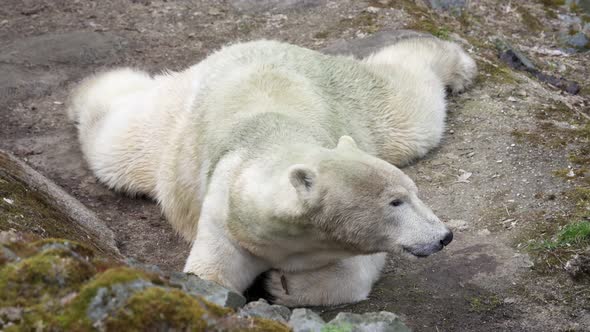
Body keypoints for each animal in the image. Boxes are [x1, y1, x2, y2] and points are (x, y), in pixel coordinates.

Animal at [68, 37, 476, 306]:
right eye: (396, 202)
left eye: (414, 193)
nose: (444, 236)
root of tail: (255, 41)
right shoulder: (227, 216)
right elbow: (211, 272)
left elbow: (356, 272)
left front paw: (281, 284)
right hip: (172, 128)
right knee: (118, 146)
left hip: (353, 101)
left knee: (409, 112)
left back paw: (456, 64)